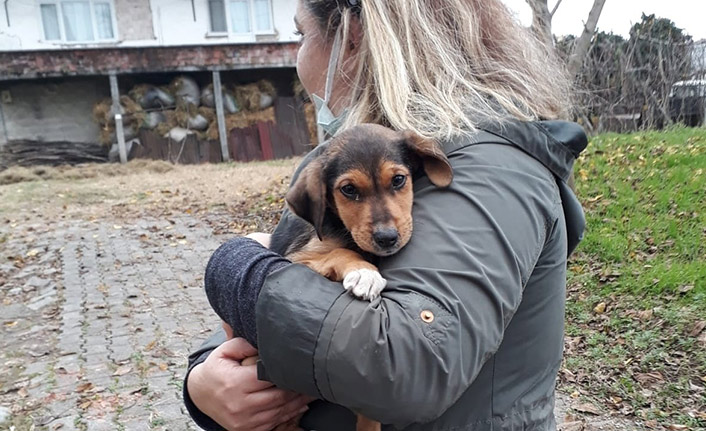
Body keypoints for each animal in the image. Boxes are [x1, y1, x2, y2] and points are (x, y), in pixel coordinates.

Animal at [270, 123, 452, 300]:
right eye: (349, 189)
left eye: (398, 179)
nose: (387, 238)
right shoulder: (295, 257)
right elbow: (339, 252)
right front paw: (364, 272)